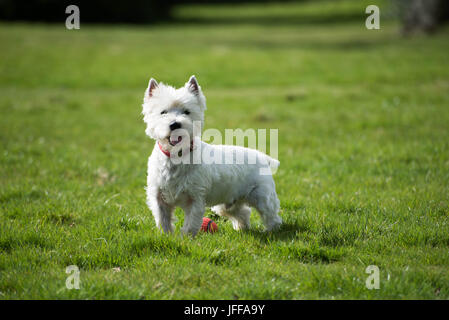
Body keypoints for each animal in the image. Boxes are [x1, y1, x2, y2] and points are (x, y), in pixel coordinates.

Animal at [141, 75, 280, 235]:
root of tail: (262, 156)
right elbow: (162, 219)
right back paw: (242, 228)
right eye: (163, 112)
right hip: (228, 202)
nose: (175, 124)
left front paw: (185, 238)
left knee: (271, 214)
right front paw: (166, 236)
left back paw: (272, 231)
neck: (176, 156)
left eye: (186, 112)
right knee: (242, 212)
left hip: (262, 195)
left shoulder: (195, 197)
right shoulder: (159, 196)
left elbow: (190, 223)